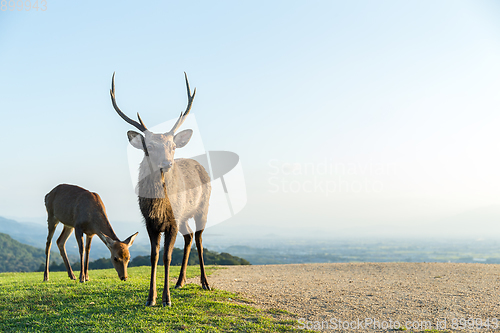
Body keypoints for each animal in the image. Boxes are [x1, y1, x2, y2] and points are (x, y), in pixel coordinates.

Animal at [109, 72, 211, 306]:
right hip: (184, 217)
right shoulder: (150, 222)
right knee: (189, 237)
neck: (159, 206)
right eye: (151, 146)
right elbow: (154, 256)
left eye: (172, 146)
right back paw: (180, 282)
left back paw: (205, 283)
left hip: (203, 207)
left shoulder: (172, 221)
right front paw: (151, 298)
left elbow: (167, 256)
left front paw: (166, 299)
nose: (167, 163)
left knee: (199, 239)